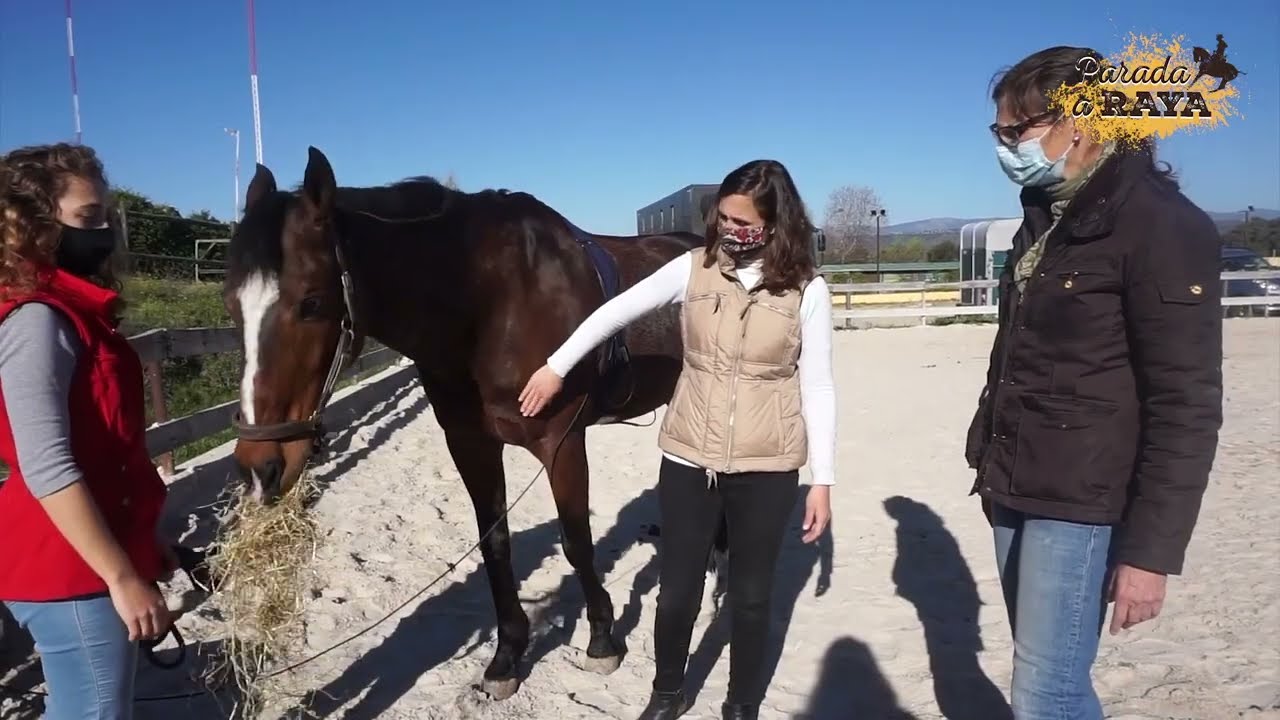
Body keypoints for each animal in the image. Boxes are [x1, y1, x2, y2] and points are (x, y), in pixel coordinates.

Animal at [221, 146, 718, 700]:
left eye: (310, 301)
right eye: (230, 302)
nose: (259, 466)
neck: (492, 303)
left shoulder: (562, 441)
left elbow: (576, 541)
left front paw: (602, 640)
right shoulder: (470, 444)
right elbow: (495, 545)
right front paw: (507, 656)